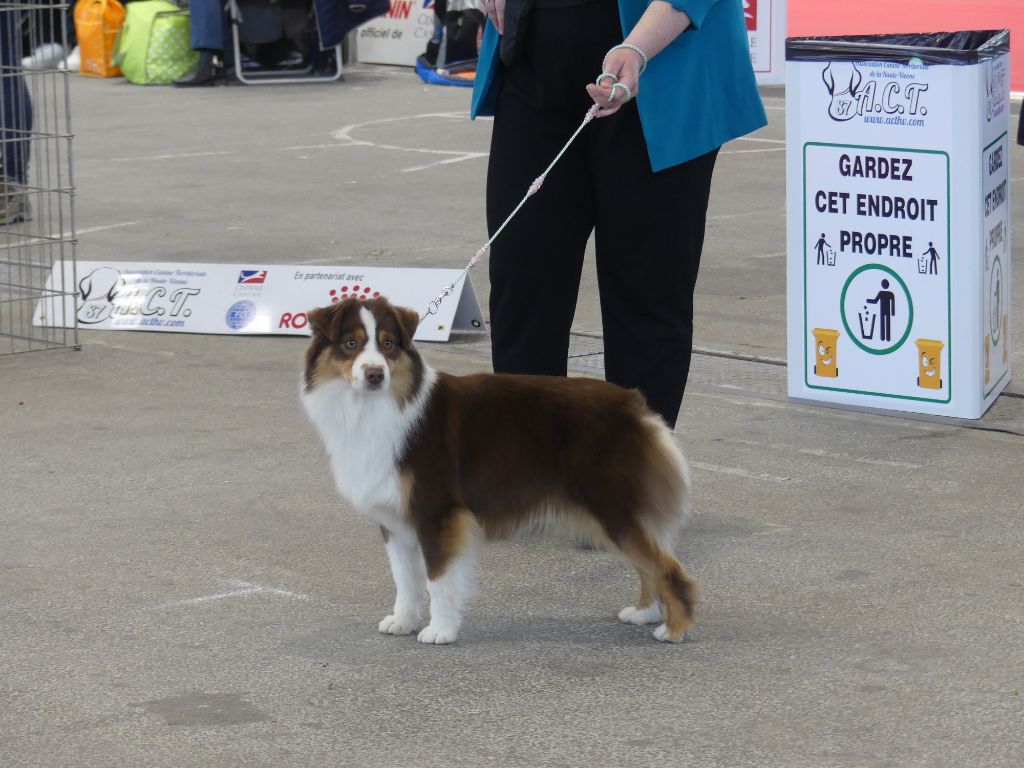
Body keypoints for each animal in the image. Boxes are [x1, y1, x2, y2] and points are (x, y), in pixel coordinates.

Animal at [299, 296, 700, 647]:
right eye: (350, 343)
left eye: (388, 345)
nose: (374, 374)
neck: (376, 407)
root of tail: (635, 405)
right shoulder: (395, 518)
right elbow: (405, 578)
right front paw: (403, 621)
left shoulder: (436, 512)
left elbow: (438, 579)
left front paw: (440, 630)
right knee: (647, 563)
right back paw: (645, 612)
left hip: (612, 504)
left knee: (666, 567)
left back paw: (674, 629)